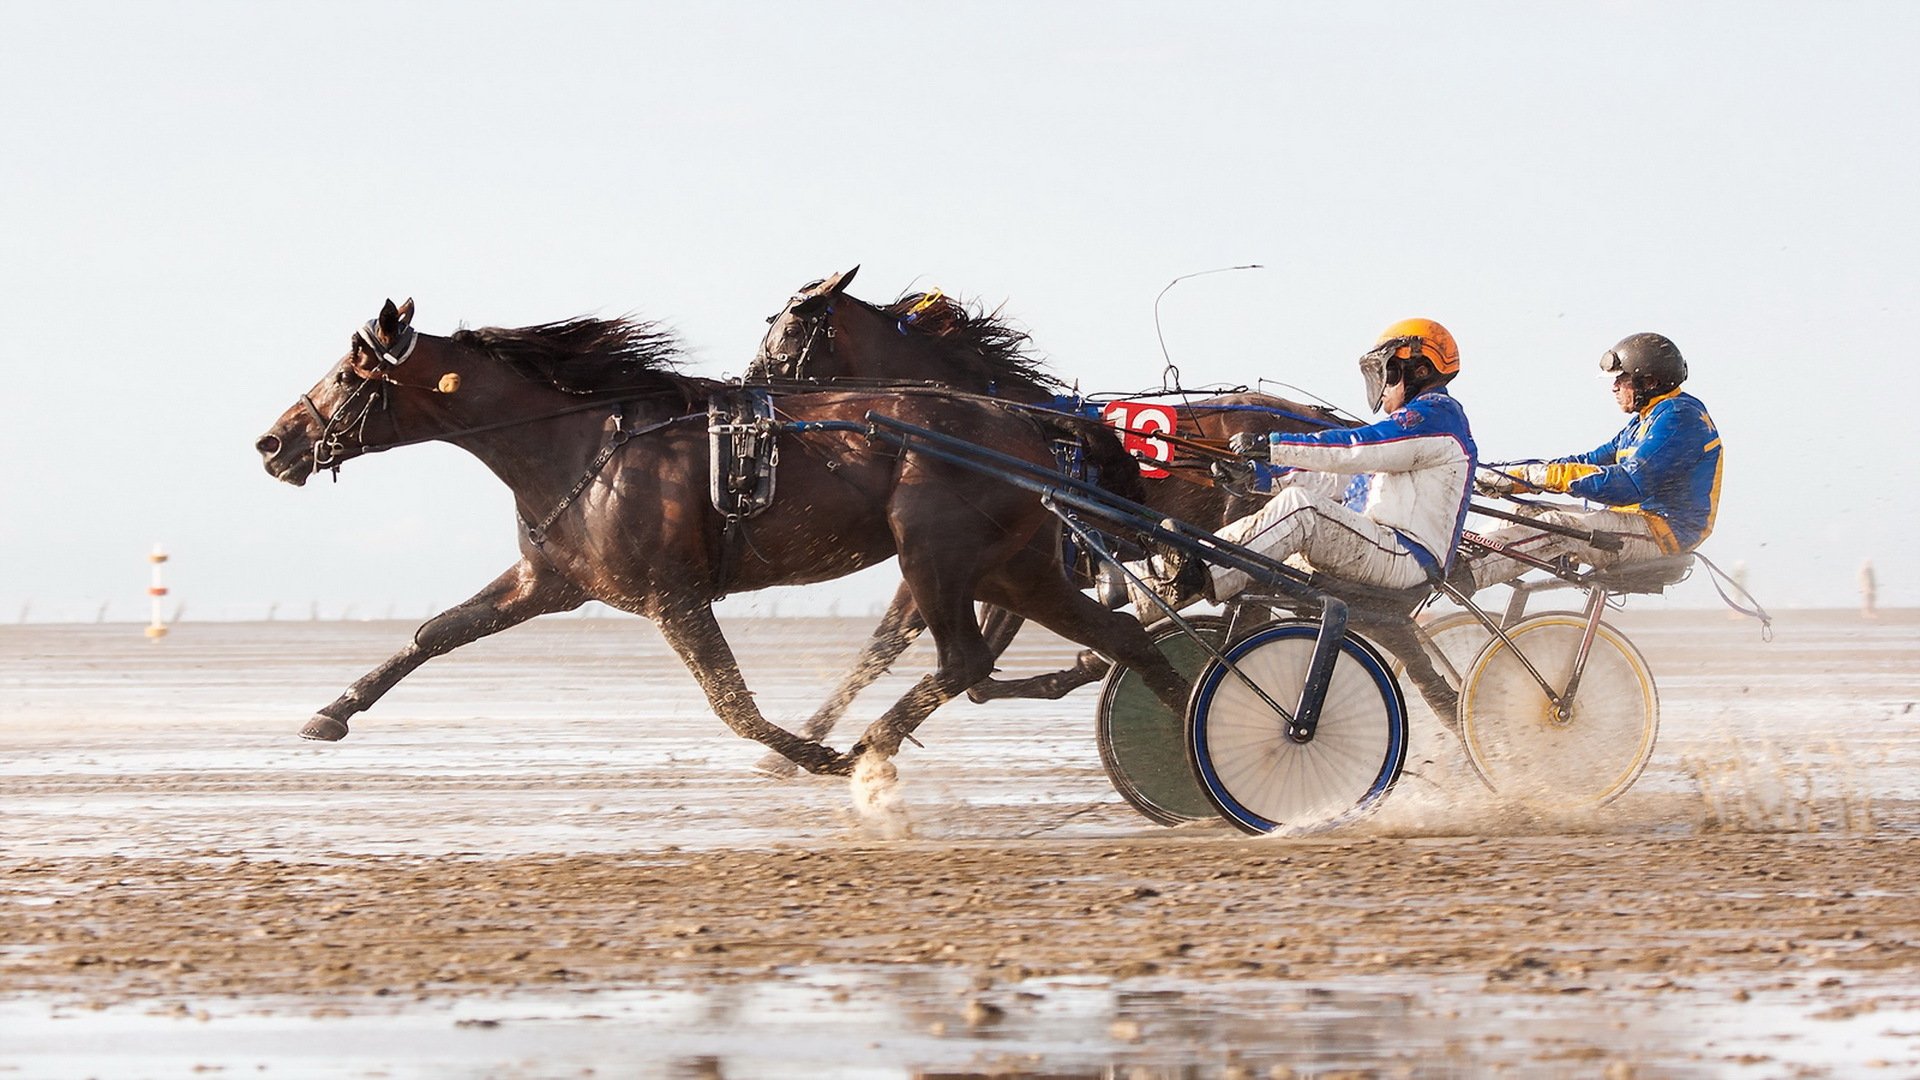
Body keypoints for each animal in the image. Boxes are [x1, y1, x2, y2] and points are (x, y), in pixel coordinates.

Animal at [254, 299, 1193, 774]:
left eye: (348, 374)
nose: (271, 442)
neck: (580, 439)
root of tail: (1026, 421)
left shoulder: (671, 594)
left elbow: (730, 701)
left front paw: (809, 754)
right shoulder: (551, 581)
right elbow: (434, 633)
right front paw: (331, 712)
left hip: (935, 550)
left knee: (963, 660)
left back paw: (866, 750)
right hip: (1015, 564)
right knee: (1111, 638)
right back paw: (1192, 722)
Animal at [743, 268, 1354, 769]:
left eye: (786, 333)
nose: (750, 380)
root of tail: (1317, 423)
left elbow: (892, 649)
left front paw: (795, 752)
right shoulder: (1005, 564)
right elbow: (937, 661)